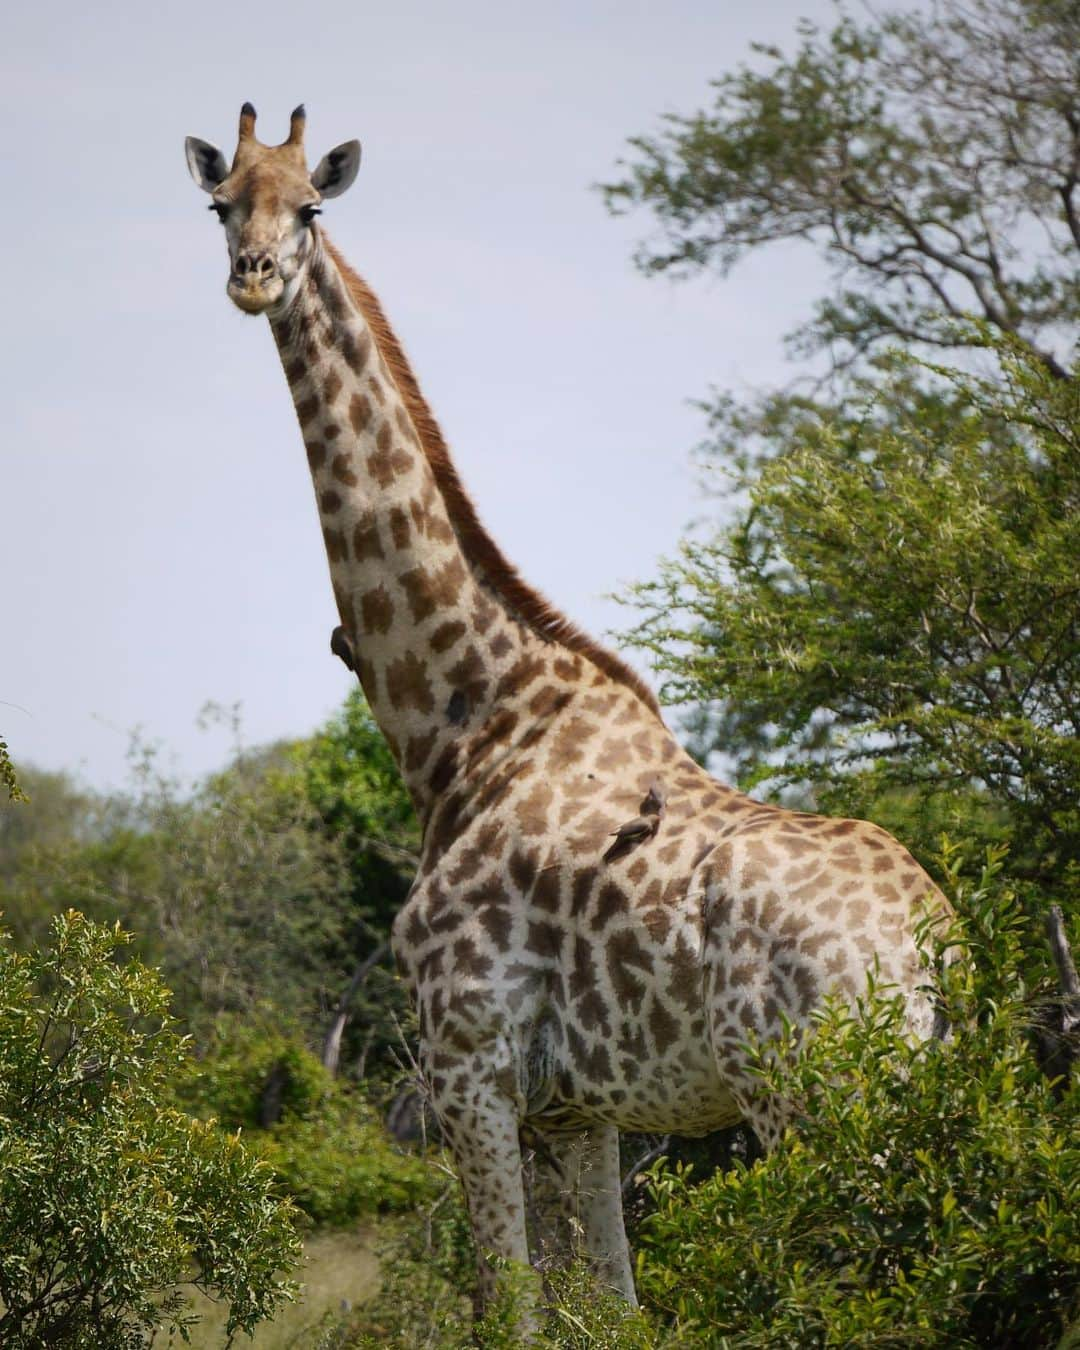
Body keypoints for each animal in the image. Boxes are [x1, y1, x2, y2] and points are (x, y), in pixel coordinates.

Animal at [186, 102, 955, 1317]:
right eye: (221, 206)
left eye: (308, 207)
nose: (255, 277)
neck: (465, 727)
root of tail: (936, 939)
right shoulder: (580, 1107)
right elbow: (616, 1305)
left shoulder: (467, 1064)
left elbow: (508, 1306)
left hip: (816, 1096)